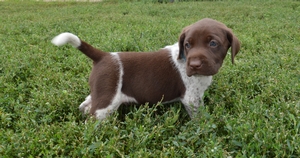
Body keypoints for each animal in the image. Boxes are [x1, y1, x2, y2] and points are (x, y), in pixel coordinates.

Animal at [51, 18, 239, 119]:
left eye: (213, 43)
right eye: (187, 45)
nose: (194, 65)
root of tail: (103, 56)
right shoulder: (191, 98)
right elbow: (199, 118)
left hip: (100, 91)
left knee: (85, 105)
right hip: (107, 100)